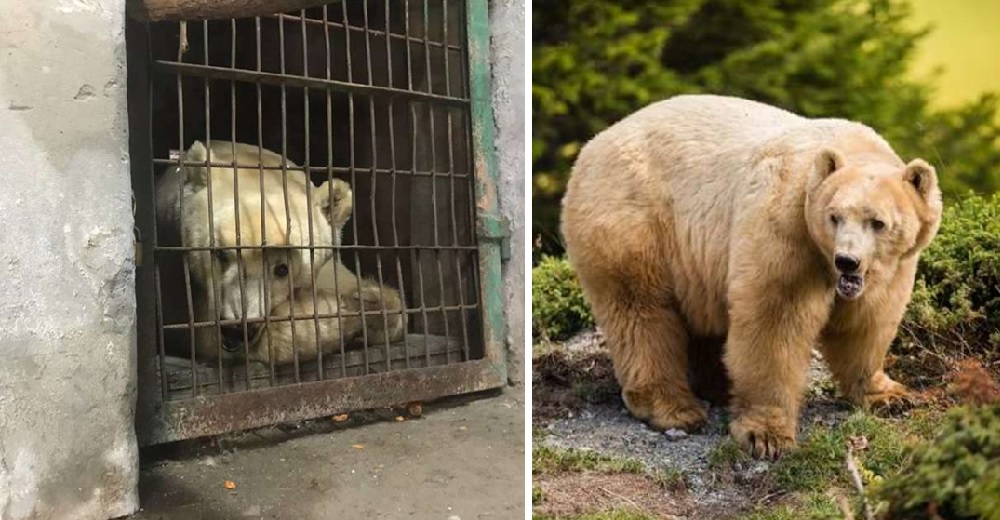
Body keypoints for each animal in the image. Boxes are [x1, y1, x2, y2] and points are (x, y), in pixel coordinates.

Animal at [564, 94, 944, 460]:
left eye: (877, 222)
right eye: (834, 216)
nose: (847, 261)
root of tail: (590, 147)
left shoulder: (891, 268)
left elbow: (867, 322)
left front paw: (889, 394)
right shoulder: (787, 227)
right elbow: (774, 321)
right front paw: (767, 435)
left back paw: (716, 384)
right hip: (634, 220)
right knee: (641, 311)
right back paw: (674, 408)